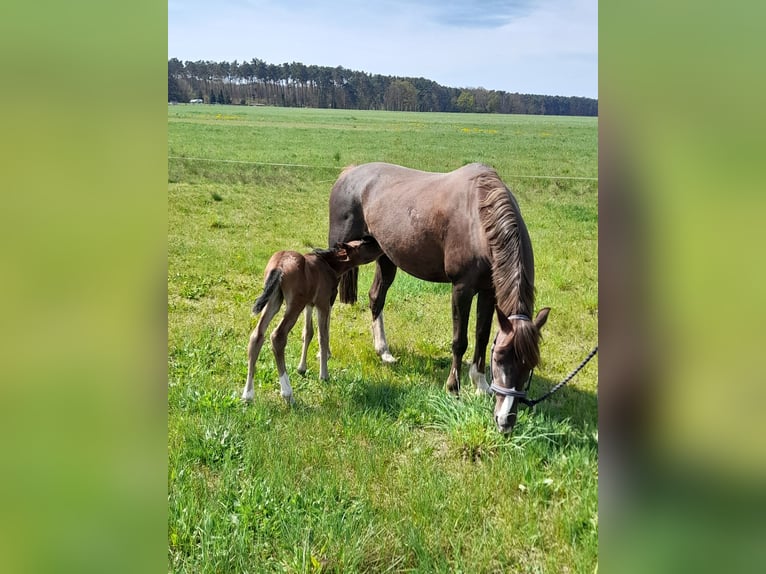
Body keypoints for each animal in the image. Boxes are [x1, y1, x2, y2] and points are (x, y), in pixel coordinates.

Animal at [242, 238, 382, 404]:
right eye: (362, 244)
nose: (379, 245)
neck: (329, 265)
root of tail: (279, 266)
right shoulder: (323, 303)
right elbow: (323, 336)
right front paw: (324, 374)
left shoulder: (309, 304)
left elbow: (308, 332)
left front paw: (302, 368)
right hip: (294, 304)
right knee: (278, 336)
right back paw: (287, 392)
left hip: (275, 299)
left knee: (257, 335)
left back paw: (248, 394)